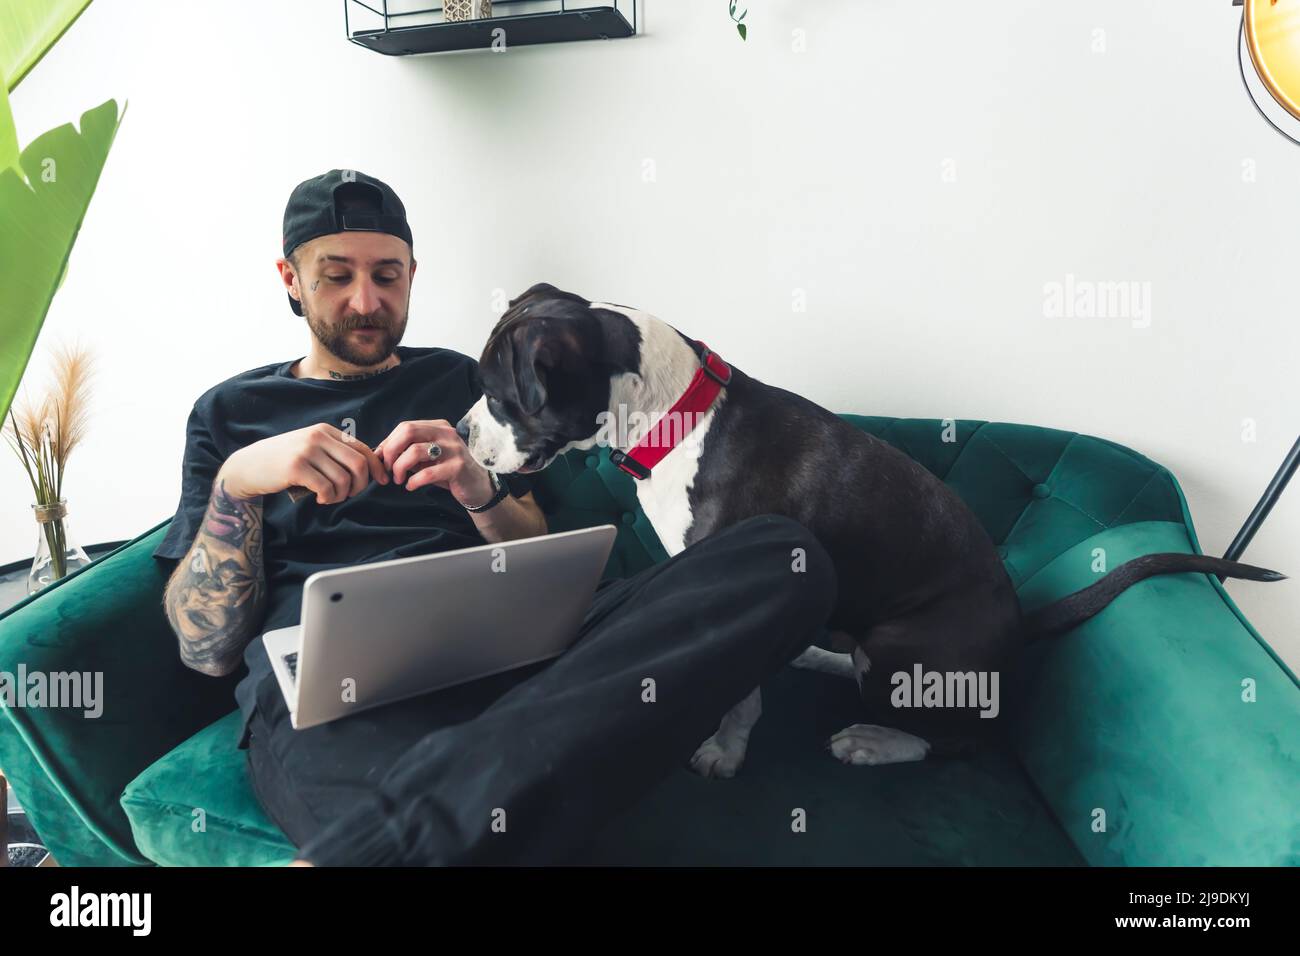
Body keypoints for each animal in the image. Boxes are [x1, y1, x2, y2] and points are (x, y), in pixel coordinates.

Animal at [454, 282, 1279, 780]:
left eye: (499, 395)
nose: (459, 432)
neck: (671, 416)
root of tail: (1020, 618)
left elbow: (740, 695)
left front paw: (725, 749)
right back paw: (822, 654)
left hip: (904, 655)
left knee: (956, 738)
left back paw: (877, 740)